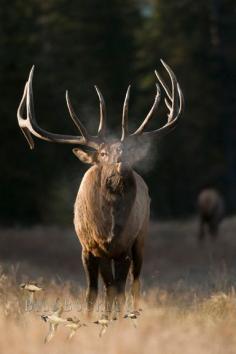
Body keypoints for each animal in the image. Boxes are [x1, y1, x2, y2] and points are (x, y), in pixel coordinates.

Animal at [17, 60, 184, 316]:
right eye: (103, 153)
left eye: (128, 151)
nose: (122, 167)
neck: (108, 231)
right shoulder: (89, 248)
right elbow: (93, 293)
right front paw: (90, 318)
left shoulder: (123, 248)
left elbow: (118, 291)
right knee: (110, 288)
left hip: (141, 238)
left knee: (133, 285)